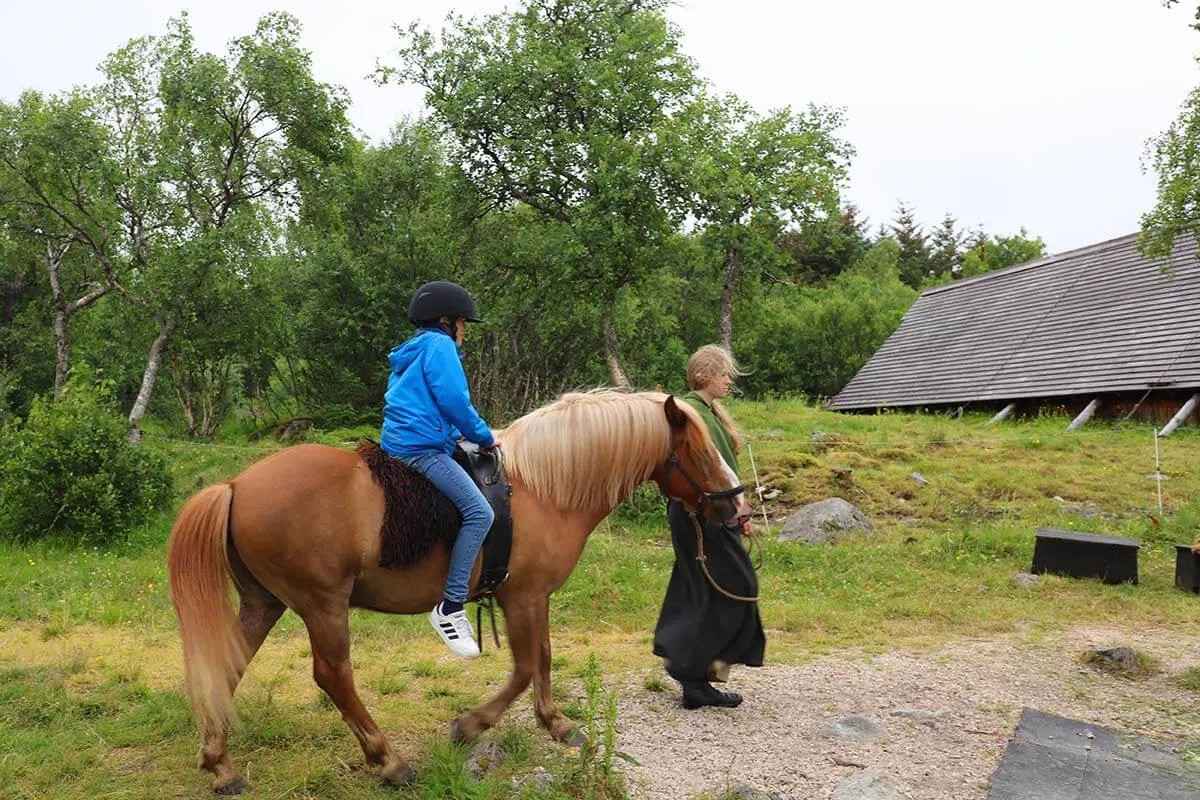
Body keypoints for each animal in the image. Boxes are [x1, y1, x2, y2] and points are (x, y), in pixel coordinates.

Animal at [166, 388, 748, 796]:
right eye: (700, 451)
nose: (737, 508)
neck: (545, 489)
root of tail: (236, 485)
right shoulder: (522, 596)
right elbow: (525, 666)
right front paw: (472, 725)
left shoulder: (534, 598)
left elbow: (542, 658)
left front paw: (557, 725)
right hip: (322, 605)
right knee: (333, 676)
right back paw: (389, 762)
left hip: (265, 602)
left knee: (227, 667)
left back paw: (221, 767)